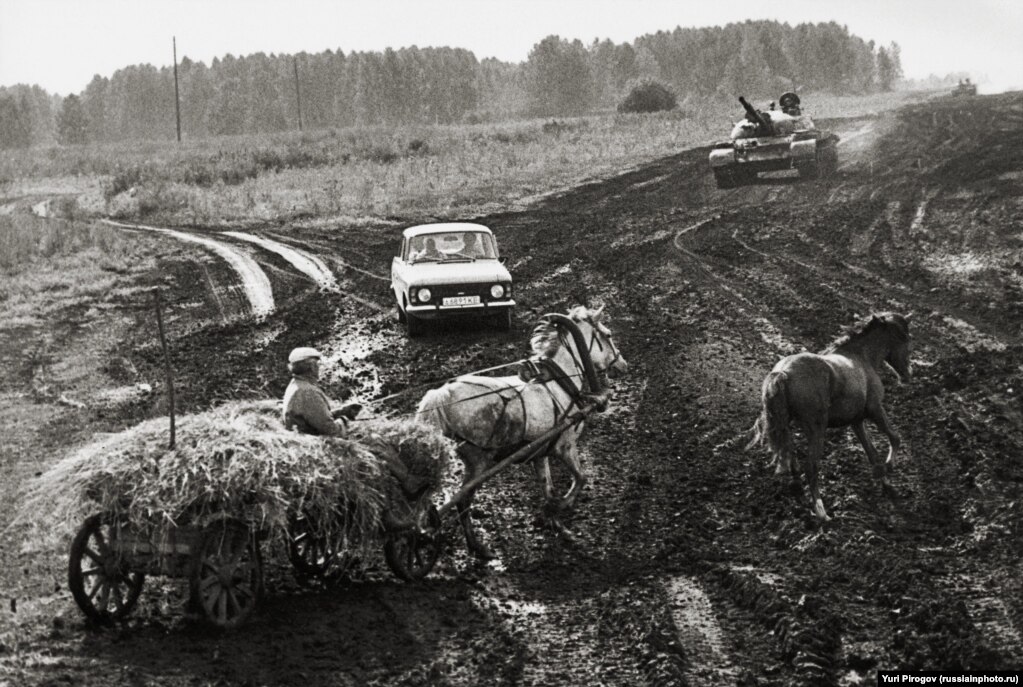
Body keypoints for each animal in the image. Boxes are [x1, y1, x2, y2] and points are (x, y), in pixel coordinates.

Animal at [413, 306, 621, 556]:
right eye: (608, 335)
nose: (622, 363)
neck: (560, 382)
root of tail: (441, 396)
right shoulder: (565, 446)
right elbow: (581, 478)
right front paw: (557, 508)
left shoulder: (540, 453)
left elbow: (548, 488)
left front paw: (557, 524)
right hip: (479, 461)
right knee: (463, 501)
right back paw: (476, 546)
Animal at [744, 312, 912, 521]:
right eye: (906, 339)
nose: (907, 375)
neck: (860, 357)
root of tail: (783, 372)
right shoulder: (875, 410)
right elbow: (895, 438)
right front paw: (889, 466)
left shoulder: (857, 421)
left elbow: (871, 452)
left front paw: (885, 481)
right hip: (816, 429)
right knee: (811, 467)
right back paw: (822, 513)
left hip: (788, 425)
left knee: (791, 457)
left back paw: (799, 490)